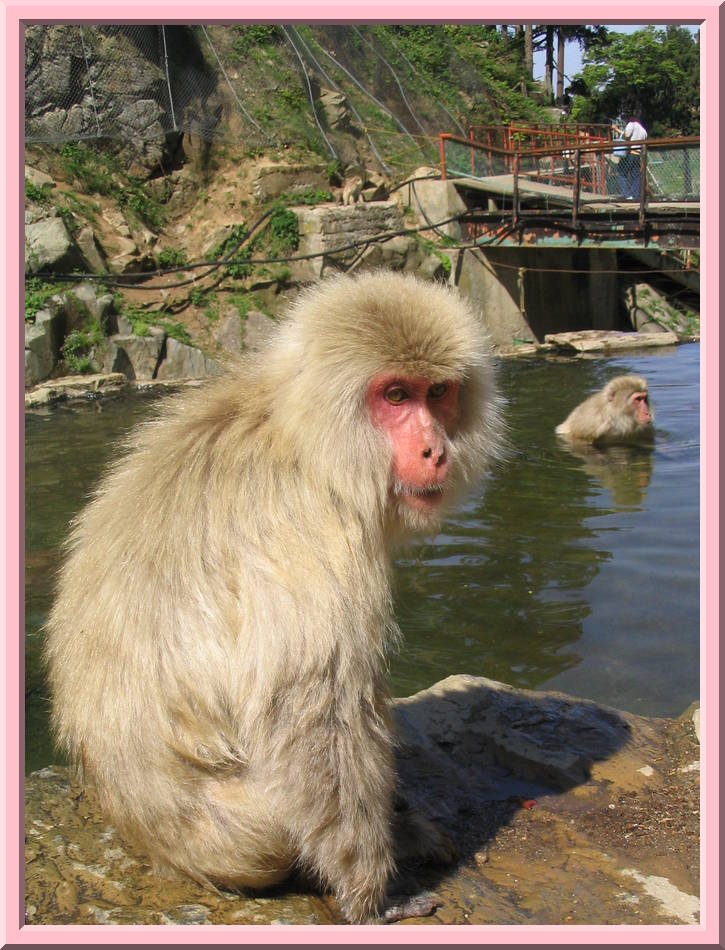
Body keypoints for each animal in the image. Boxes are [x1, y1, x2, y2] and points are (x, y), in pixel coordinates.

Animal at [45, 271, 503, 924]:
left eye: (437, 392)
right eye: (394, 395)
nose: (435, 450)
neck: (306, 443)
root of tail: (144, 837)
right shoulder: (313, 534)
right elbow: (310, 714)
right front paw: (369, 899)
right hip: (240, 834)